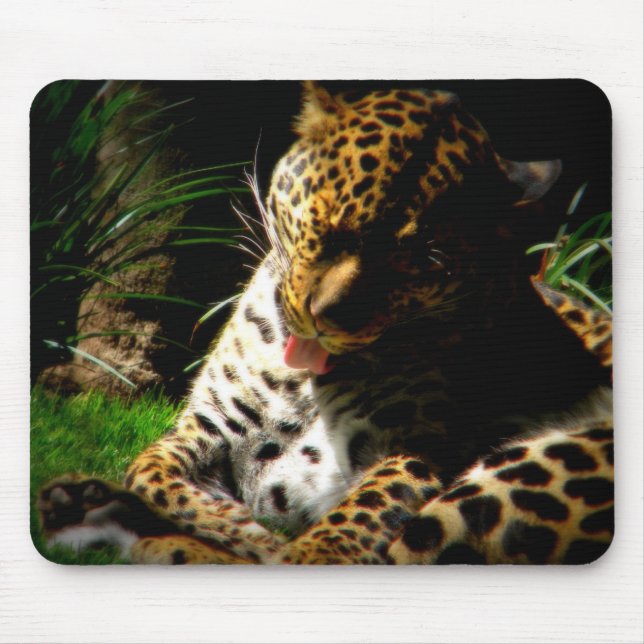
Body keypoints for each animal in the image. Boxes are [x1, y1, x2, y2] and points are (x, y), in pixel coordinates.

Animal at [37, 82, 613, 565]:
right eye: (327, 219)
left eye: (426, 261)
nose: (326, 318)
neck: (302, 382)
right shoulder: (210, 422)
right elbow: (149, 470)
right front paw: (229, 522)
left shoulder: (424, 449)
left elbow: (348, 528)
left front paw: (255, 537)